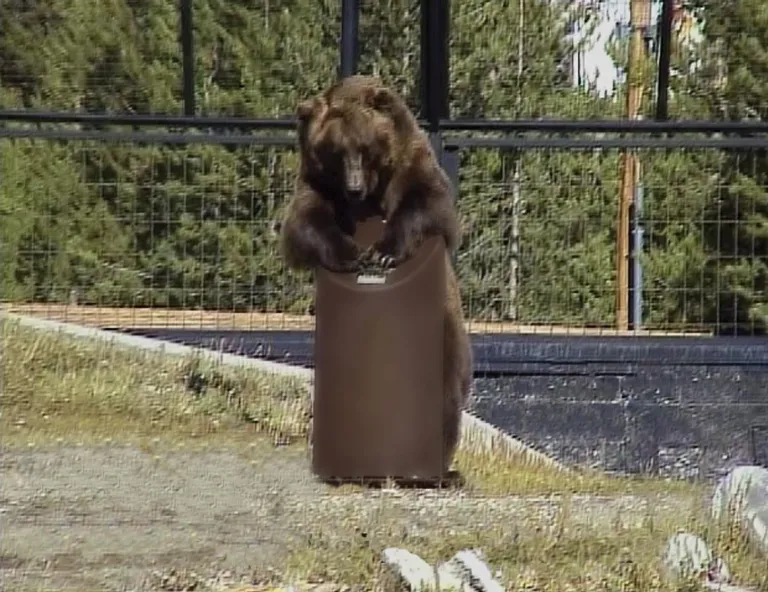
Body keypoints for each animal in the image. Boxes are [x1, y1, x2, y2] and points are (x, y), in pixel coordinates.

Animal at [279, 75, 473, 472]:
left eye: (363, 147)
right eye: (334, 152)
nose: (354, 188)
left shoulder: (411, 163)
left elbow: (428, 202)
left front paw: (383, 252)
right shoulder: (317, 184)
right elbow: (305, 219)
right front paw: (352, 253)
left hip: (447, 332)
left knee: (446, 389)